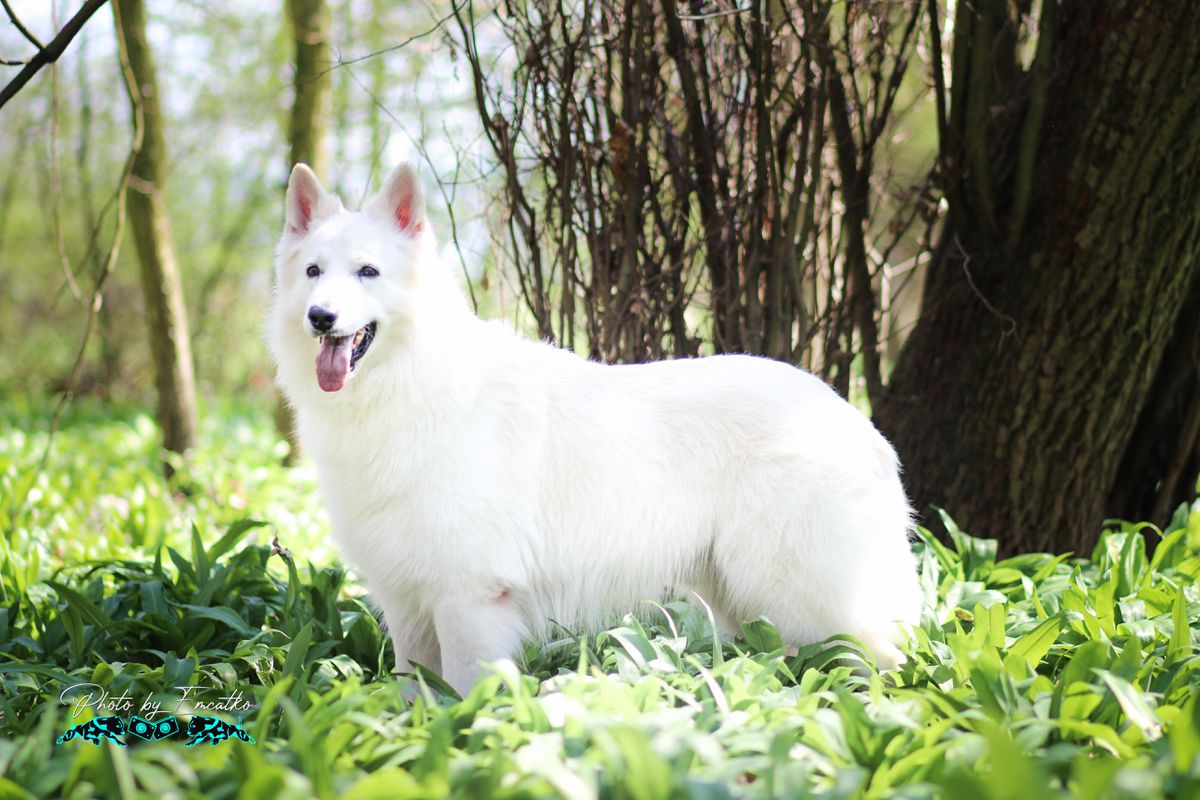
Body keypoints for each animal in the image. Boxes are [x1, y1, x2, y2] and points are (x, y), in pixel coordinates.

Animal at [272, 160, 921, 695]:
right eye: (314, 272)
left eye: (368, 272)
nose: (321, 317)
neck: (407, 385)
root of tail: (852, 418)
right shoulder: (408, 604)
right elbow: (414, 695)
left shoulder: (469, 598)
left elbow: (466, 691)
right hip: (748, 600)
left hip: (803, 597)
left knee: (881, 658)